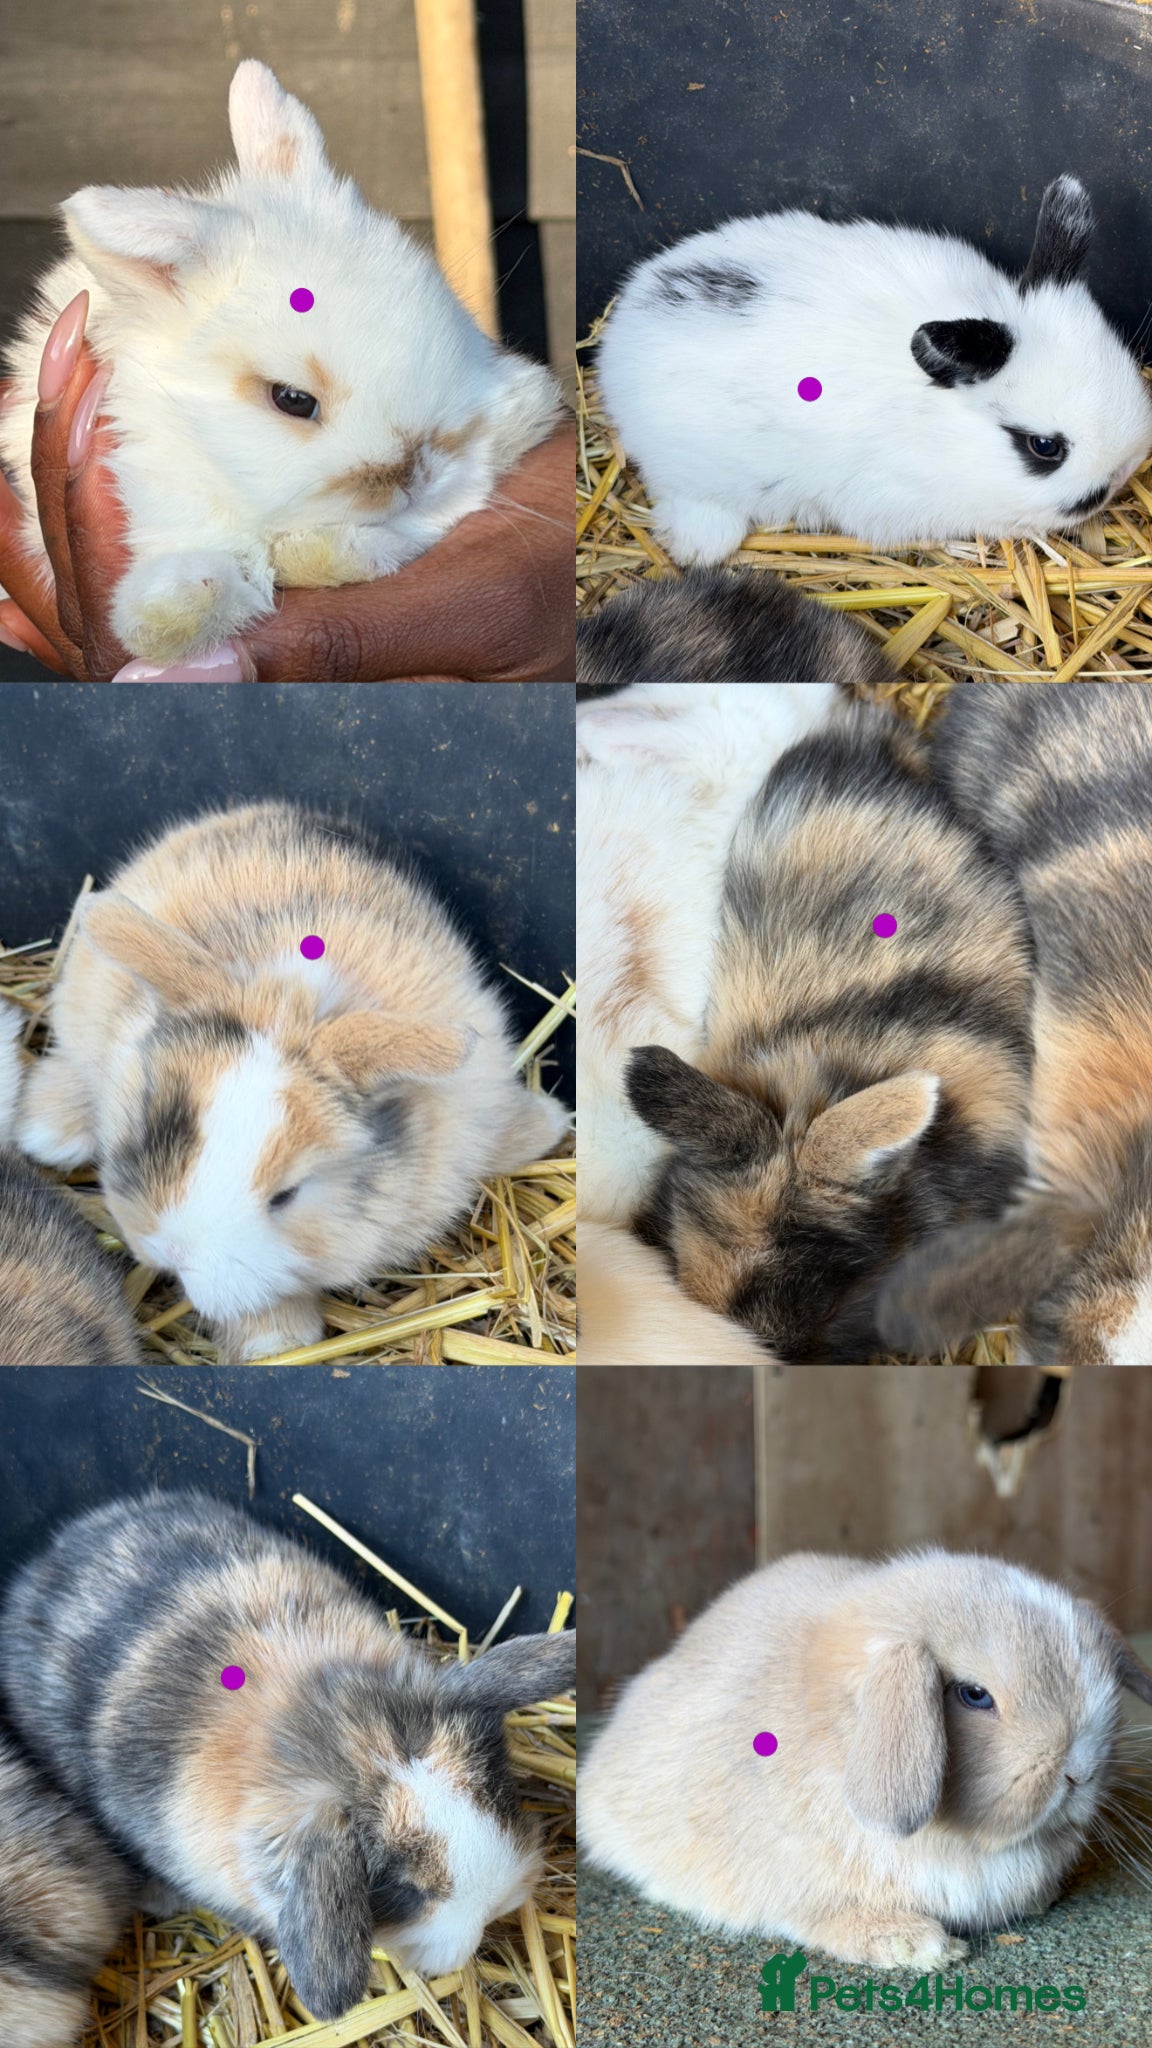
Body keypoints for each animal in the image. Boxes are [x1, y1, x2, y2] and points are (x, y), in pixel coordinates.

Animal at [16, 802, 568, 1365]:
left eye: (287, 1195)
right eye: (154, 1128)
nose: (171, 1251)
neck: (297, 997)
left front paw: (272, 1342)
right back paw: (46, 1133)